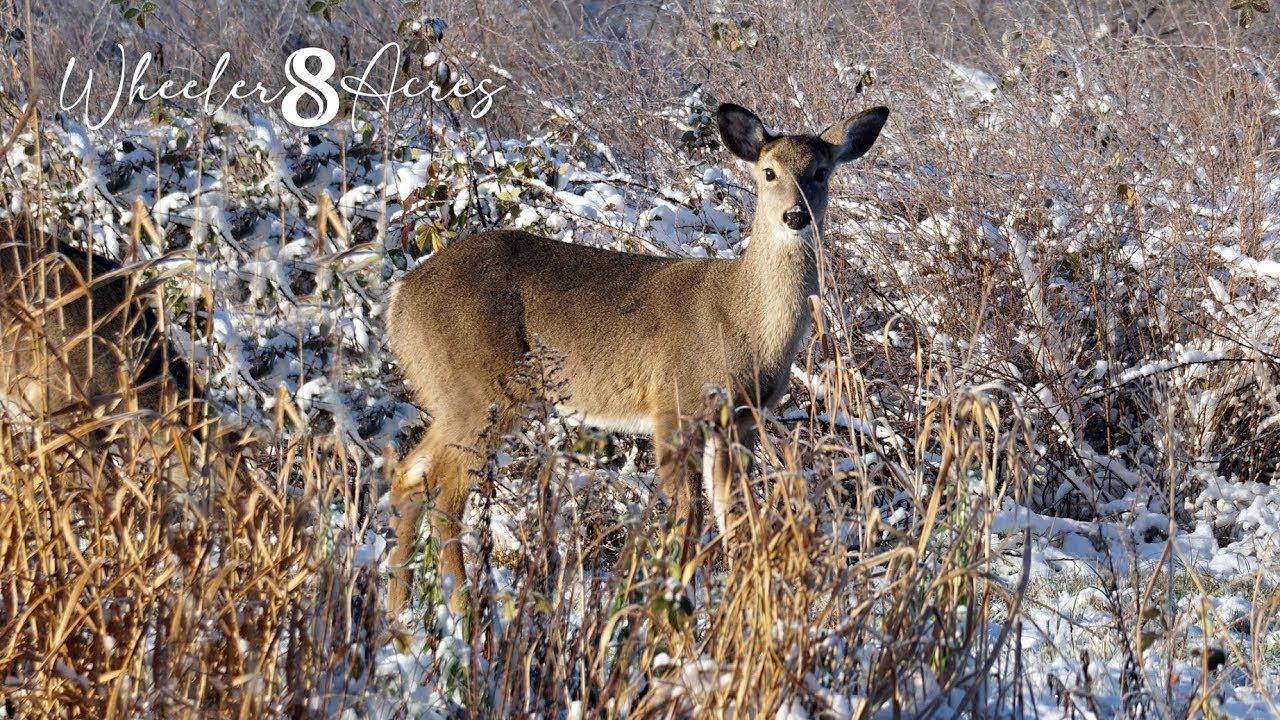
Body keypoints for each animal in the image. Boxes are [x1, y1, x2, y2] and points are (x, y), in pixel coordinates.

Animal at [386, 102, 889, 612]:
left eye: (821, 172)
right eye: (769, 172)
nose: (795, 215)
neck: (744, 323)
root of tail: (399, 299)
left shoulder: (740, 421)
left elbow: (735, 515)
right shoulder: (674, 406)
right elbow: (688, 517)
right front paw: (671, 607)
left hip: (453, 396)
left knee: (408, 477)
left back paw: (399, 610)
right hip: (479, 389)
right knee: (445, 493)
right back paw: (462, 612)